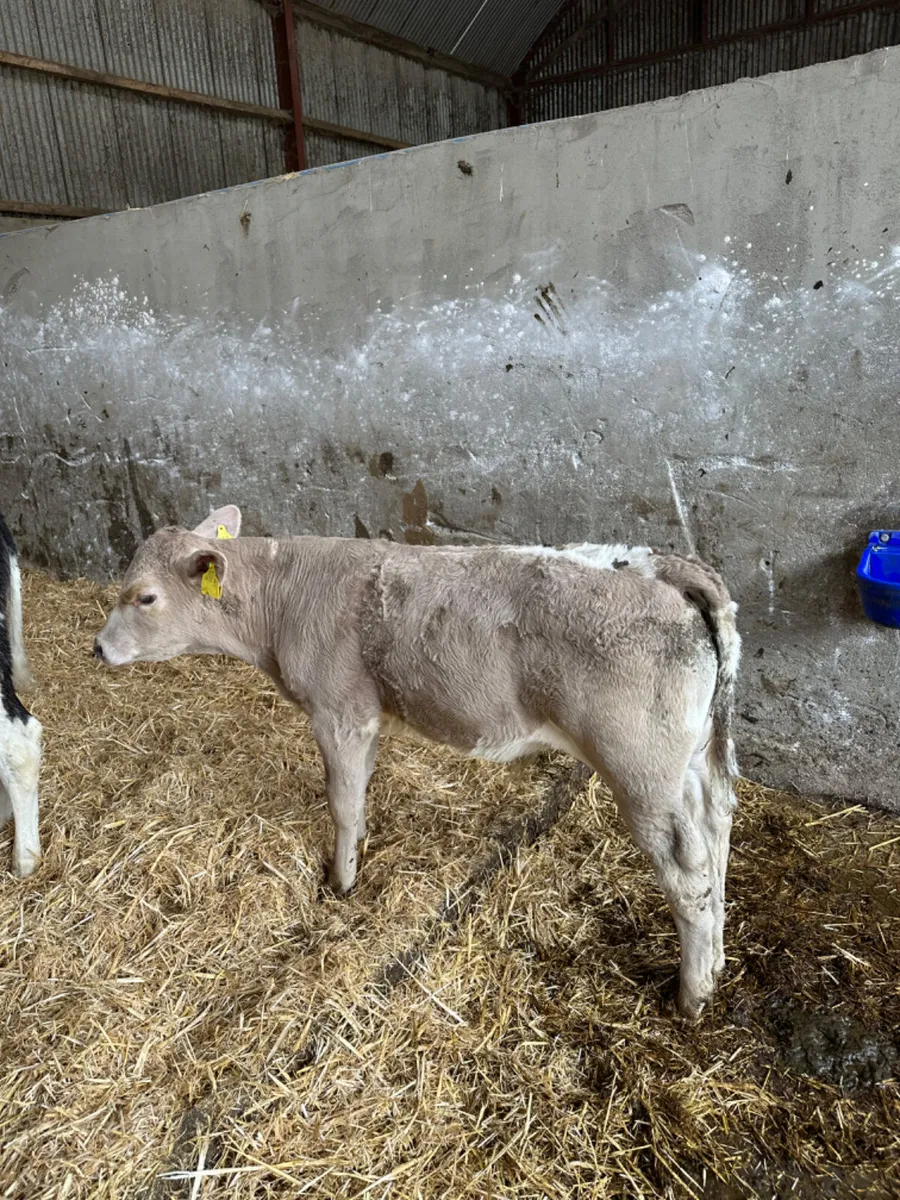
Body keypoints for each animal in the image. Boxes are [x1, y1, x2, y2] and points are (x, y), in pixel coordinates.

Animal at [94, 505, 740, 1018]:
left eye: (144, 596)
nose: (98, 647)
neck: (284, 595)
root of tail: (664, 567)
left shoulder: (339, 710)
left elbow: (342, 801)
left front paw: (341, 884)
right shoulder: (369, 716)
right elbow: (360, 792)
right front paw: (355, 859)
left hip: (639, 768)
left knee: (688, 873)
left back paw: (691, 998)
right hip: (695, 760)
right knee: (716, 834)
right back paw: (713, 966)